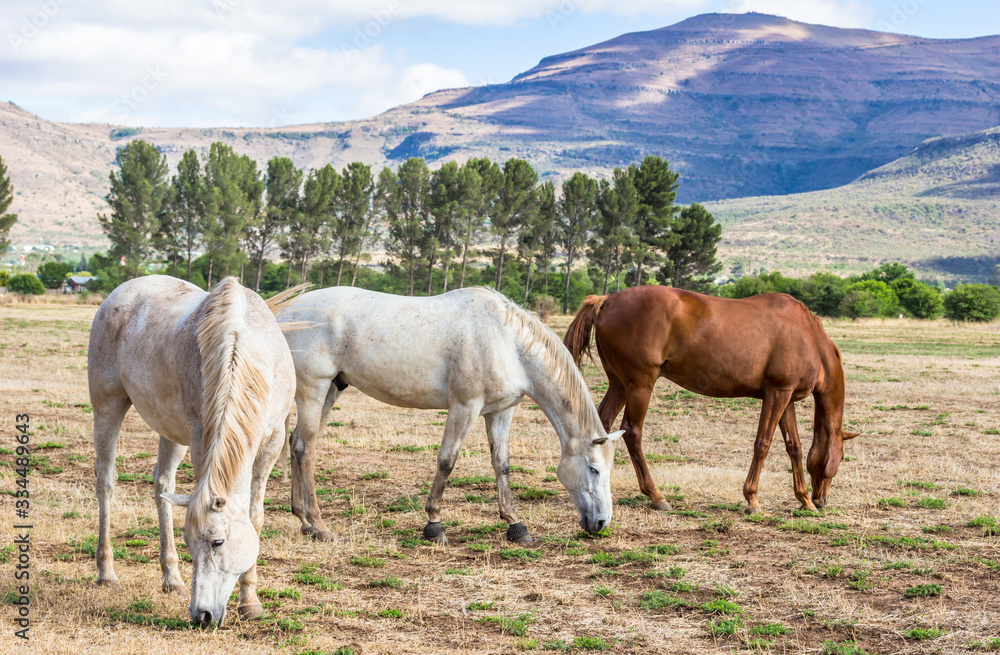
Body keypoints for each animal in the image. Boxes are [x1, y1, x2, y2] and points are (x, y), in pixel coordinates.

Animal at [87, 274, 292, 628]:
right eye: (190, 543)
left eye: (217, 542)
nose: (202, 615)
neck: (242, 350)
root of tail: (124, 290)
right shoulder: (200, 436)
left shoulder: (272, 439)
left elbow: (254, 517)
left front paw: (250, 600)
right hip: (107, 406)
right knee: (106, 481)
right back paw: (107, 573)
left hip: (170, 430)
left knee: (162, 485)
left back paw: (172, 579)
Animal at [274, 286, 616, 544]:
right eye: (594, 469)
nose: (601, 522)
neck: (507, 342)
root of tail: (288, 313)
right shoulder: (465, 407)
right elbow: (447, 461)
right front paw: (434, 524)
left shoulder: (500, 411)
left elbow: (501, 464)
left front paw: (515, 525)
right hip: (314, 390)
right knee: (306, 448)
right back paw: (319, 526)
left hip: (332, 389)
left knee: (296, 443)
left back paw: (304, 521)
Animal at [568, 286, 856, 512]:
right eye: (841, 458)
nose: (822, 500)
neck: (808, 338)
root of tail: (608, 299)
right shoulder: (777, 394)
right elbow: (762, 443)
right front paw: (752, 498)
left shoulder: (786, 399)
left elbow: (793, 447)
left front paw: (803, 499)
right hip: (640, 385)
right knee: (632, 432)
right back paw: (656, 495)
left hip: (619, 385)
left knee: (602, 425)